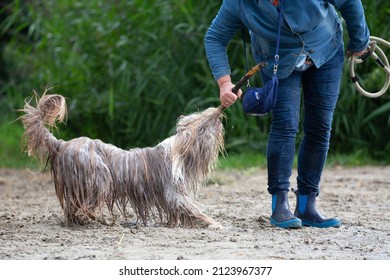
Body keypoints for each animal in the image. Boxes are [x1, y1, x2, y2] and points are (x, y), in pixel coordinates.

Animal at [19, 91, 224, 228]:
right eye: (204, 123)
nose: (219, 113)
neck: (179, 151)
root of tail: (61, 144)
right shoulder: (174, 193)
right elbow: (190, 209)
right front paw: (213, 223)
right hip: (98, 176)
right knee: (85, 205)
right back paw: (100, 220)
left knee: (73, 208)